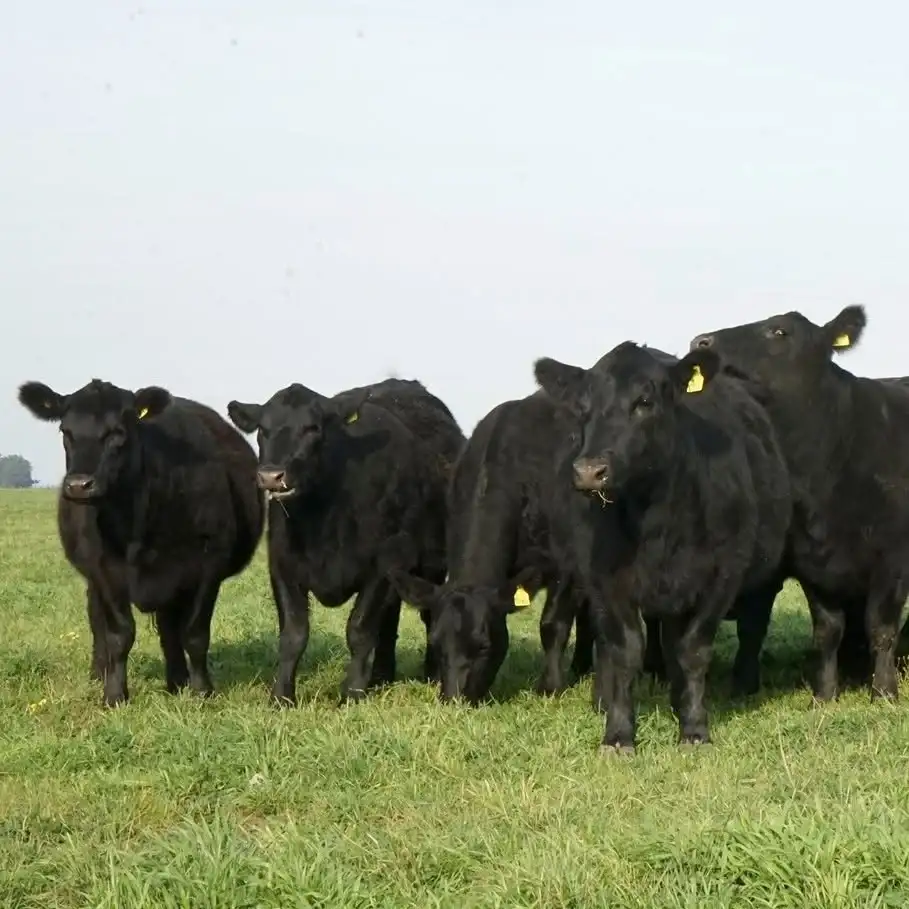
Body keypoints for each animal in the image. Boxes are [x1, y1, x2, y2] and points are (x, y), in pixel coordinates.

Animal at [17, 378, 265, 707]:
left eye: (117, 432)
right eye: (65, 431)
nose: (79, 485)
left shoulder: (208, 566)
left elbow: (195, 634)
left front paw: (202, 692)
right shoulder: (104, 569)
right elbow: (118, 634)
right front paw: (114, 695)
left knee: (169, 629)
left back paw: (177, 681)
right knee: (97, 618)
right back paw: (100, 673)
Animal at [226, 377, 465, 705]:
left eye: (313, 428)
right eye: (263, 428)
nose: (271, 476)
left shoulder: (383, 565)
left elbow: (360, 629)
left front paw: (351, 694)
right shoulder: (282, 565)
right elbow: (293, 634)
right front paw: (282, 697)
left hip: (430, 564)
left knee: (427, 613)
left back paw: (431, 673)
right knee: (388, 622)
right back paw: (380, 676)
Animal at [385, 389, 595, 705]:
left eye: (483, 645)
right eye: (436, 643)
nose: (453, 700)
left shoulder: (565, 565)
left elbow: (552, 624)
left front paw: (550, 687)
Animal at [535, 342, 792, 752]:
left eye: (644, 401)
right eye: (583, 408)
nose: (590, 471)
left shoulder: (722, 575)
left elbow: (693, 650)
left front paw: (694, 728)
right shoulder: (604, 578)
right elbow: (624, 651)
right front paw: (618, 735)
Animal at [691, 305, 909, 703]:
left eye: (780, 331)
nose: (700, 341)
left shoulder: (894, 561)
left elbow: (882, 629)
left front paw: (884, 692)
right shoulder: (812, 563)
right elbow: (827, 630)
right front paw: (825, 694)